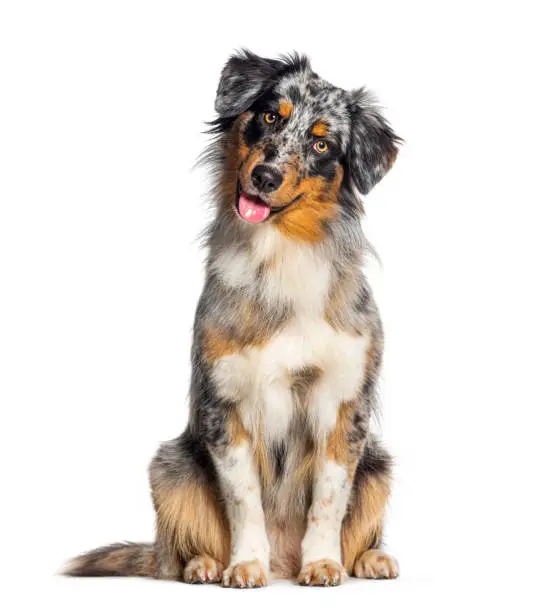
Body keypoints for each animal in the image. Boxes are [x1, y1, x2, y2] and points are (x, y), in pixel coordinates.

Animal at [66, 50, 402, 584]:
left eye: (321, 143)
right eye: (270, 117)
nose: (265, 177)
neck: (280, 255)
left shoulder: (342, 403)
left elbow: (329, 501)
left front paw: (322, 563)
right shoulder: (226, 404)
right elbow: (244, 501)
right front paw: (245, 565)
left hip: (379, 464)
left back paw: (370, 559)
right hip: (171, 466)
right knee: (172, 554)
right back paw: (204, 565)